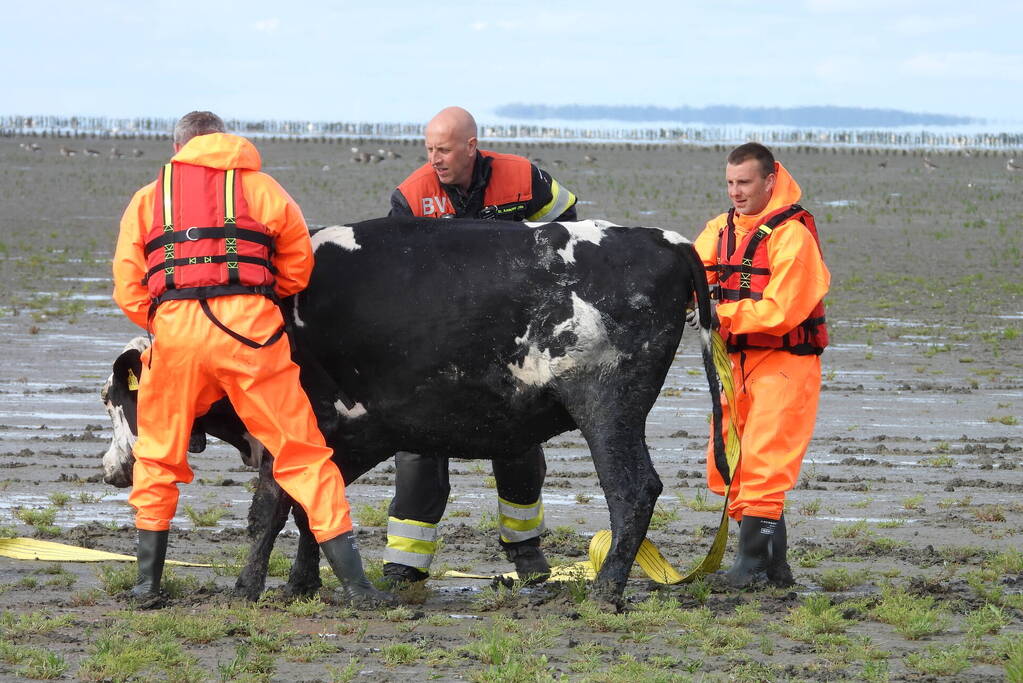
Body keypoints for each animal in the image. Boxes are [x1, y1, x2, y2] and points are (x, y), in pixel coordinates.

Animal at [101, 217, 724, 609]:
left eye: (114, 400)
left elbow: (270, 511)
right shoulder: (344, 439)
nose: (110, 469)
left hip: (607, 408)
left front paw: (246, 589)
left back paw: (606, 591)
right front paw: (301, 585)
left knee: (633, 490)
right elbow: (310, 510)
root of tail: (663, 239)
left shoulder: (290, 430)